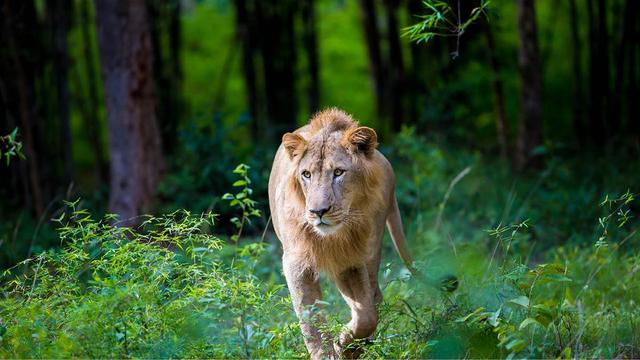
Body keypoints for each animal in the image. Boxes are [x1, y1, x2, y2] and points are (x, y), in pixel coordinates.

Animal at [268, 108, 418, 358]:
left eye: (338, 172)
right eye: (306, 174)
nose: (318, 211)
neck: (332, 238)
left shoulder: (350, 260)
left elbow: (366, 316)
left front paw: (344, 346)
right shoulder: (297, 262)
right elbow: (311, 319)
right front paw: (328, 352)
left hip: (372, 249)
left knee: (376, 297)